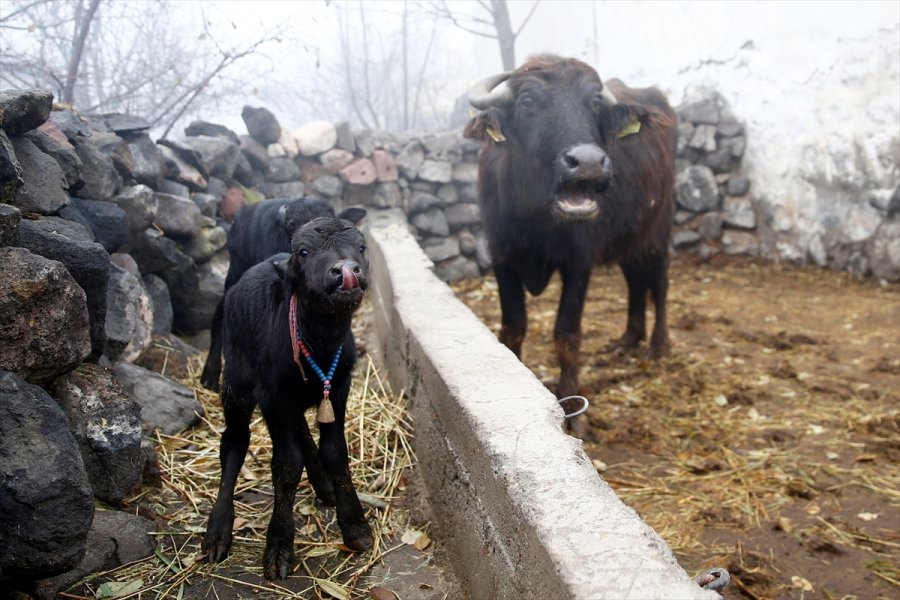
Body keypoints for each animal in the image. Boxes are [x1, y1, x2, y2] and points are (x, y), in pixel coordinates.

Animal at [202, 216, 370, 576]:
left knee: (300, 433)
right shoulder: (274, 396)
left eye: (361, 247)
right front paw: (279, 545)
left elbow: (335, 453)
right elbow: (286, 464)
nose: (346, 270)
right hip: (236, 381)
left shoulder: (338, 388)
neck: (319, 343)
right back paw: (218, 530)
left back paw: (324, 486)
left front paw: (355, 527)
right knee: (234, 442)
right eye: (303, 252)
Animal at [464, 56, 676, 420]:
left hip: (658, 227)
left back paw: (657, 345)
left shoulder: (579, 263)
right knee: (635, 281)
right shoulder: (501, 256)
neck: (536, 216)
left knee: (659, 283)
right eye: (527, 101)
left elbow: (567, 334)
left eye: (595, 103)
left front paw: (573, 409)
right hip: (629, 235)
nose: (589, 163)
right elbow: (513, 328)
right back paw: (628, 339)